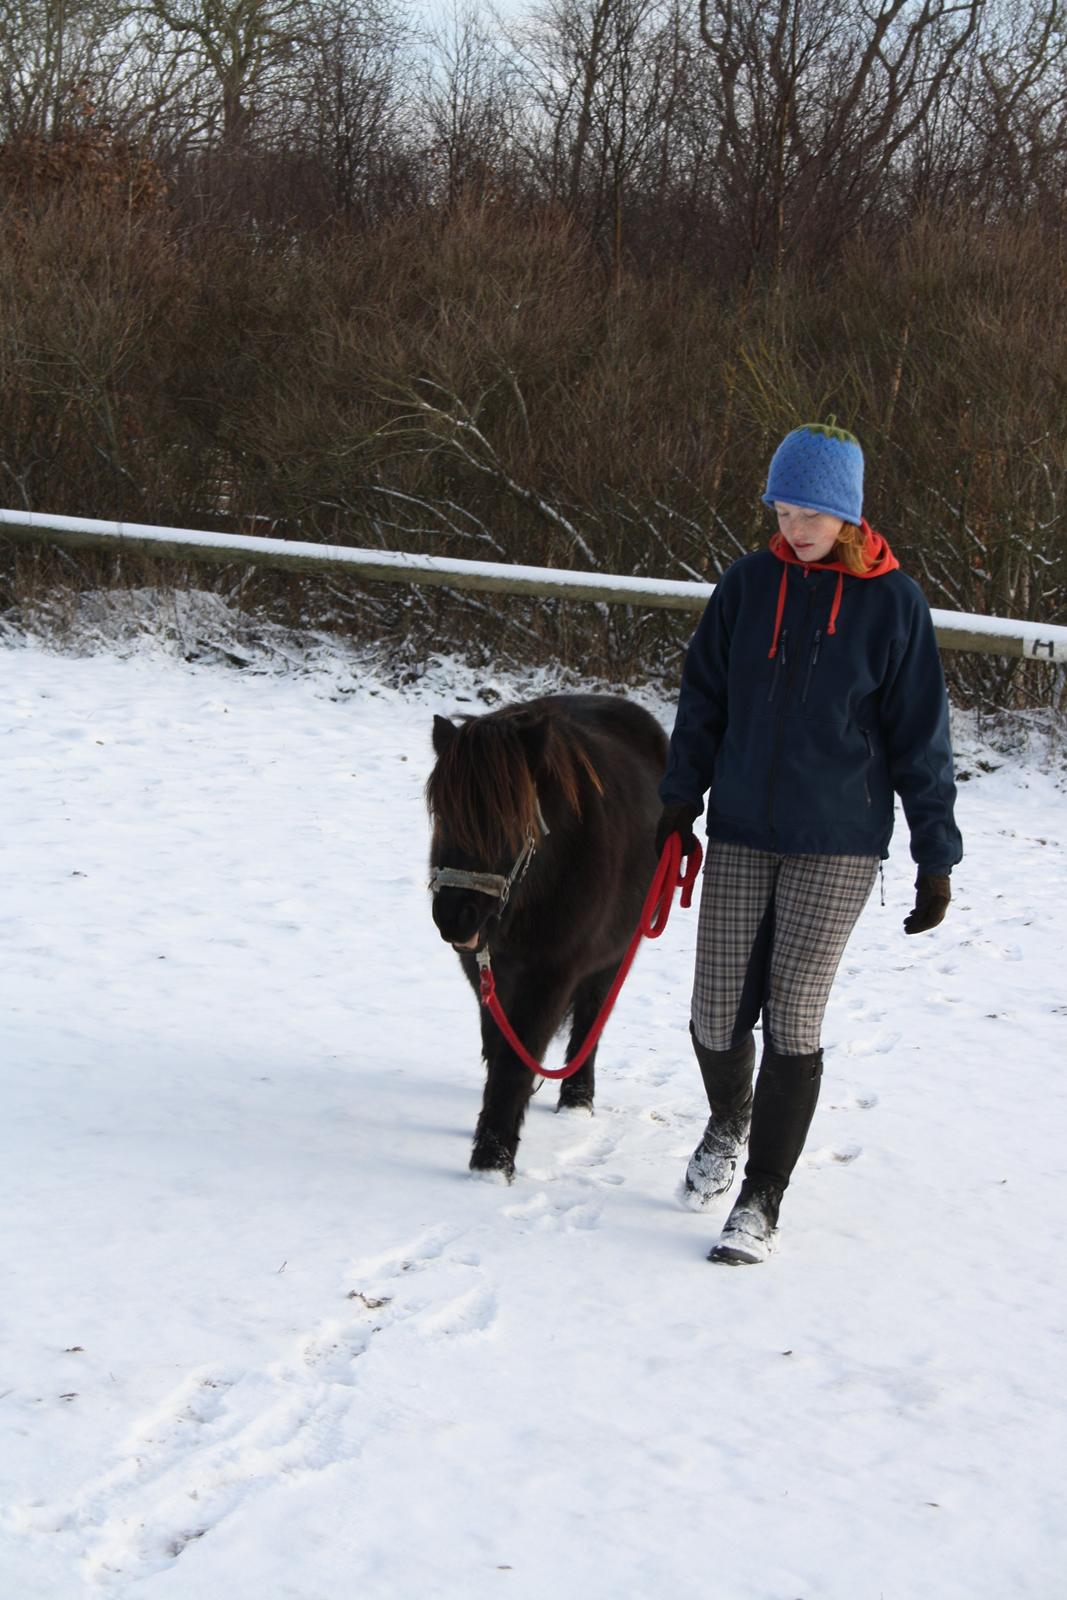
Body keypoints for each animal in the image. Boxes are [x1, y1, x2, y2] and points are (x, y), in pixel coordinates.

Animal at [428, 694, 668, 1184]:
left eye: (508, 820)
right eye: (442, 814)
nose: (454, 917)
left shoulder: (554, 973)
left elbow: (518, 1061)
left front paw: (492, 1163)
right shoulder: (484, 968)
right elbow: (498, 1045)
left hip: (615, 954)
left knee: (592, 1019)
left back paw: (577, 1100)